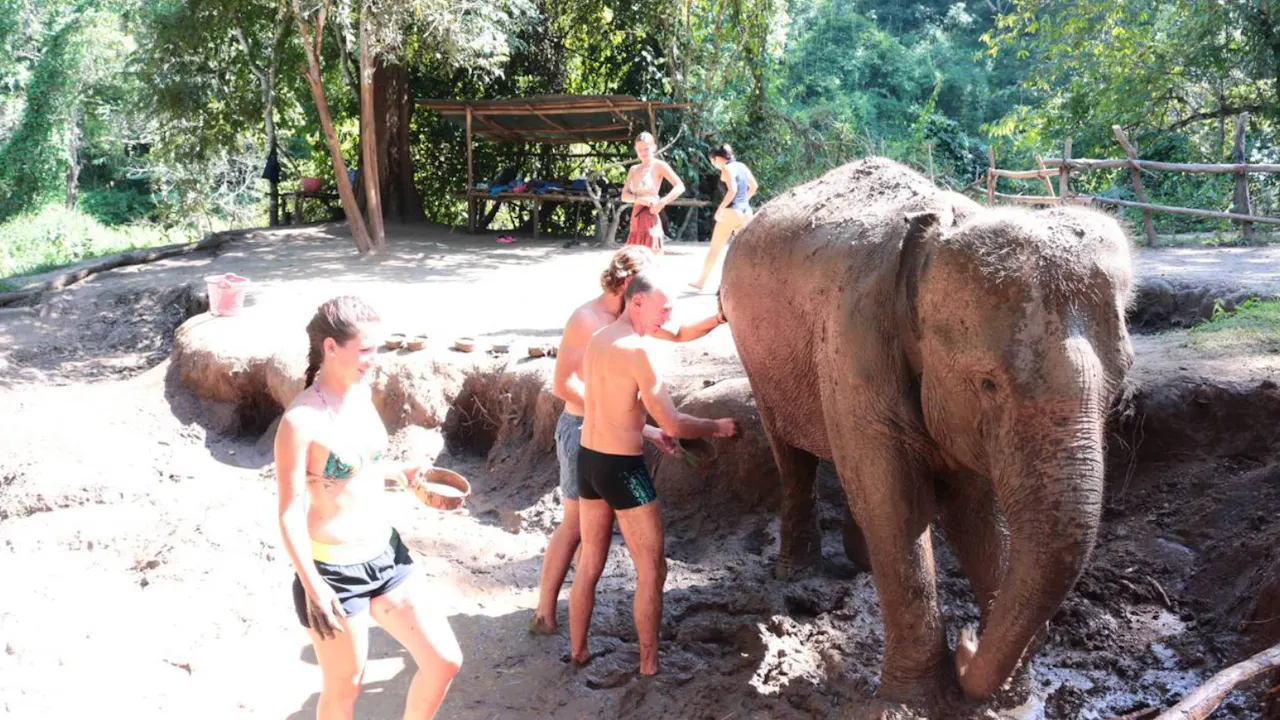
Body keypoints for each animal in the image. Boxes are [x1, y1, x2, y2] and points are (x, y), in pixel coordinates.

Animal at [719, 158, 1135, 710]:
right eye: (987, 383)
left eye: (1119, 386)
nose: (968, 639)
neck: (942, 228)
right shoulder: (856, 343)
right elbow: (897, 505)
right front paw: (911, 704)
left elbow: (973, 510)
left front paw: (1012, 700)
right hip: (755, 356)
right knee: (793, 457)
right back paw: (796, 572)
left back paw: (860, 564)